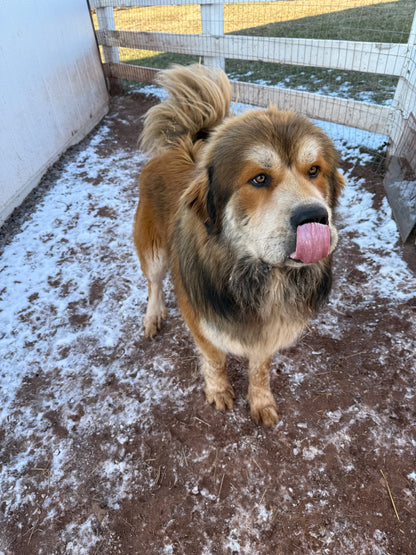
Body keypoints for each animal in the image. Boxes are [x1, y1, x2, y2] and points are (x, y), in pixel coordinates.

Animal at [134, 66, 344, 430]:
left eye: (314, 170)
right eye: (259, 179)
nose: (316, 217)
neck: (260, 276)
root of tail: (175, 148)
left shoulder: (268, 333)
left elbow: (259, 369)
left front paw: (260, 401)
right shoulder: (202, 322)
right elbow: (215, 361)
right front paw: (219, 390)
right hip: (154, 252)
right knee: (154, 284)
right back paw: (153, 315)